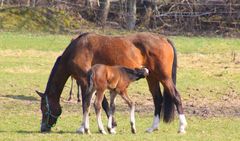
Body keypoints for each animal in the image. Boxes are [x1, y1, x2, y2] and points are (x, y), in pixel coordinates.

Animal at [35, 32, 188, 133]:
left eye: (44, 108)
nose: (43, 128)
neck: (76, 50)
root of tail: (163, 38)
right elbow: (103, 104)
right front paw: (111, 125)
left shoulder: (85, 81)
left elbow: (89, 104)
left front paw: (85, 127)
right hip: (152, 77)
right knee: (157, 99)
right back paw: (153, 127)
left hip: (164, 77)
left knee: (176, 96)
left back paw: (182, 127)